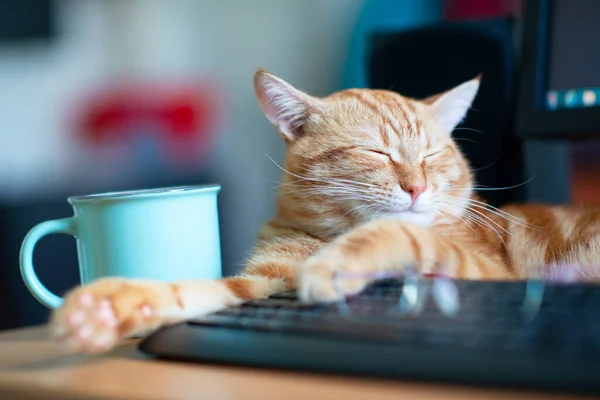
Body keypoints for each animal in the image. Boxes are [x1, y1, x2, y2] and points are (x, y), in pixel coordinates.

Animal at [51, 69, 600, 354]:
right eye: (376, 153)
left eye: (430, 155)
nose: (417, 187)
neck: (329, 230)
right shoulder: (262, 282)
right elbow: (198, 291)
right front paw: (109, 307)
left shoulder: (486, 272)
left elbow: (402, 234)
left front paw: (333, 265)